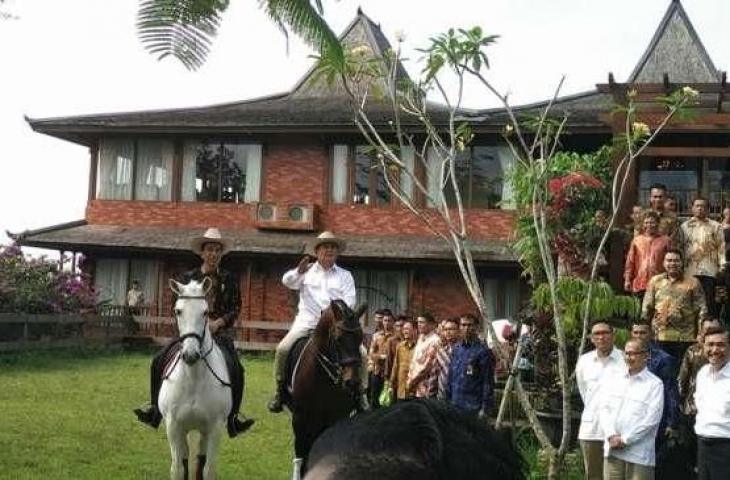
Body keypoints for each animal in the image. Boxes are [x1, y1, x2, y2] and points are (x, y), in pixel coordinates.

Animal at [161, 278, 232, 480]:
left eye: (205, 312)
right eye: (178, 311)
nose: (190, 355)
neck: (193, 378)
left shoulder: (215, 427)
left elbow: (208, 470)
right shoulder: (173, 426)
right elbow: (177, 469)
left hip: (204, 430)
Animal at [282, 300, 366, 476]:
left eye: (360, 338)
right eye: (338, 339)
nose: (352, 382)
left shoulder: (337, 417)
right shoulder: (299, 418)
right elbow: (300, 455)